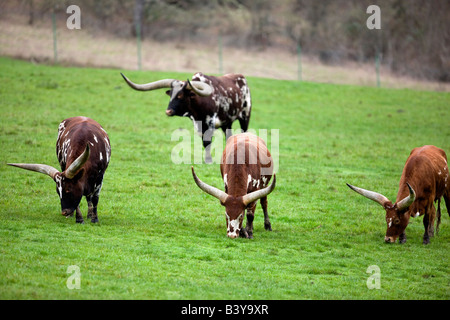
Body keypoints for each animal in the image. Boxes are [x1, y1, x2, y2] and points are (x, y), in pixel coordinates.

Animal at [121, 72, 251, 162]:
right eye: (171, 95)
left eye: (180, 96)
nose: (168, 111)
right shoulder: (199, 125)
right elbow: (205, 142)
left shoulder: (210, 123)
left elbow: (207, 141)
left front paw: (208, 160)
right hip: (227, 122)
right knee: (229, 136)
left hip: (245, 116)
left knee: (244, 132)